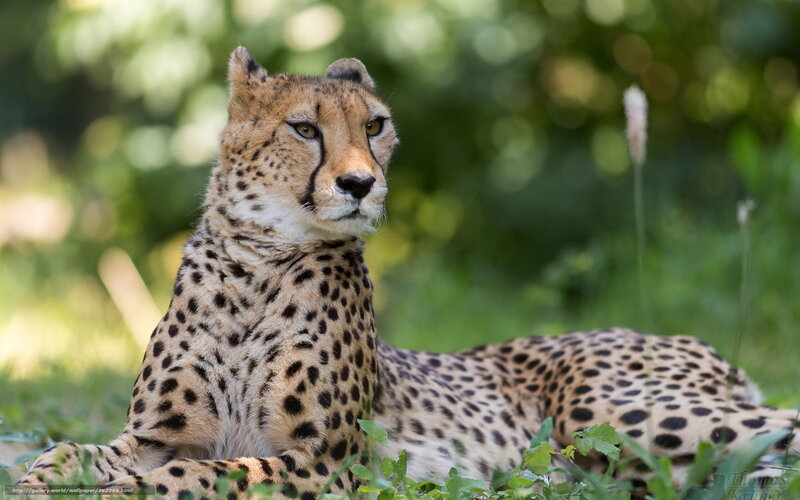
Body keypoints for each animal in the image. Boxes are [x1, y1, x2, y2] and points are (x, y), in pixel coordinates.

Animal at [17, 47, 800, 498]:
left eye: (376, 125)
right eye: (305, 128)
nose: (361, 184)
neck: (258, 263)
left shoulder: (325, 462)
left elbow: (201, 474)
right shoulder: (156, 436)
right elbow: (78, 451)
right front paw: (41, 475)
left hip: (609, 411)